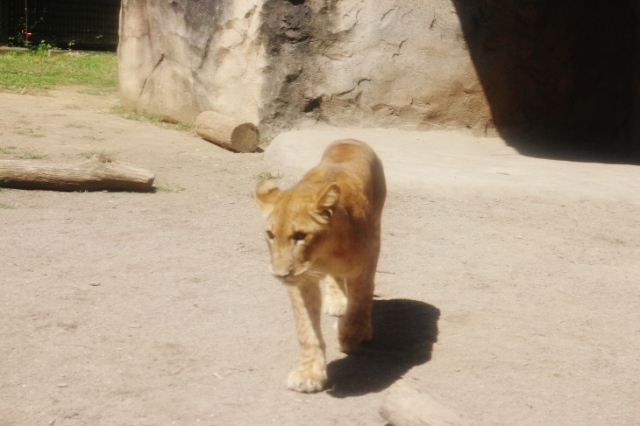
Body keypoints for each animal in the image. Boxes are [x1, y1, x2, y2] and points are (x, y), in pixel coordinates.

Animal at [254, 140, 384, 392]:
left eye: (300, 236)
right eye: (270, 235)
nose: (279, 274)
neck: (323, 254)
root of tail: (350, 139)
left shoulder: (363, 266)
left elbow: (359, 303)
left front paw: (349, 337)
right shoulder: (300, 281)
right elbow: (306, 330)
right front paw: (309, 374)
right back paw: (336, 301)